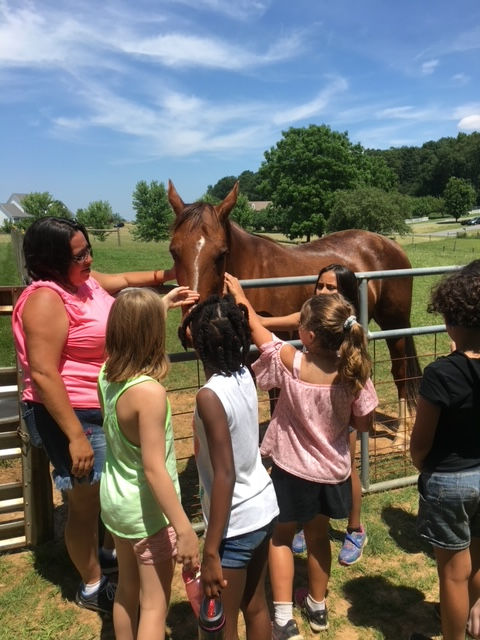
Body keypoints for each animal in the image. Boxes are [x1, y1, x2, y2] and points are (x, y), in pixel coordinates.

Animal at [168, 180, 421, 416]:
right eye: (173, 251)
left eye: (222, 253)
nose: (192, 328)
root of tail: (390, 244)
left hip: (395, 325)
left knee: (400, 371)